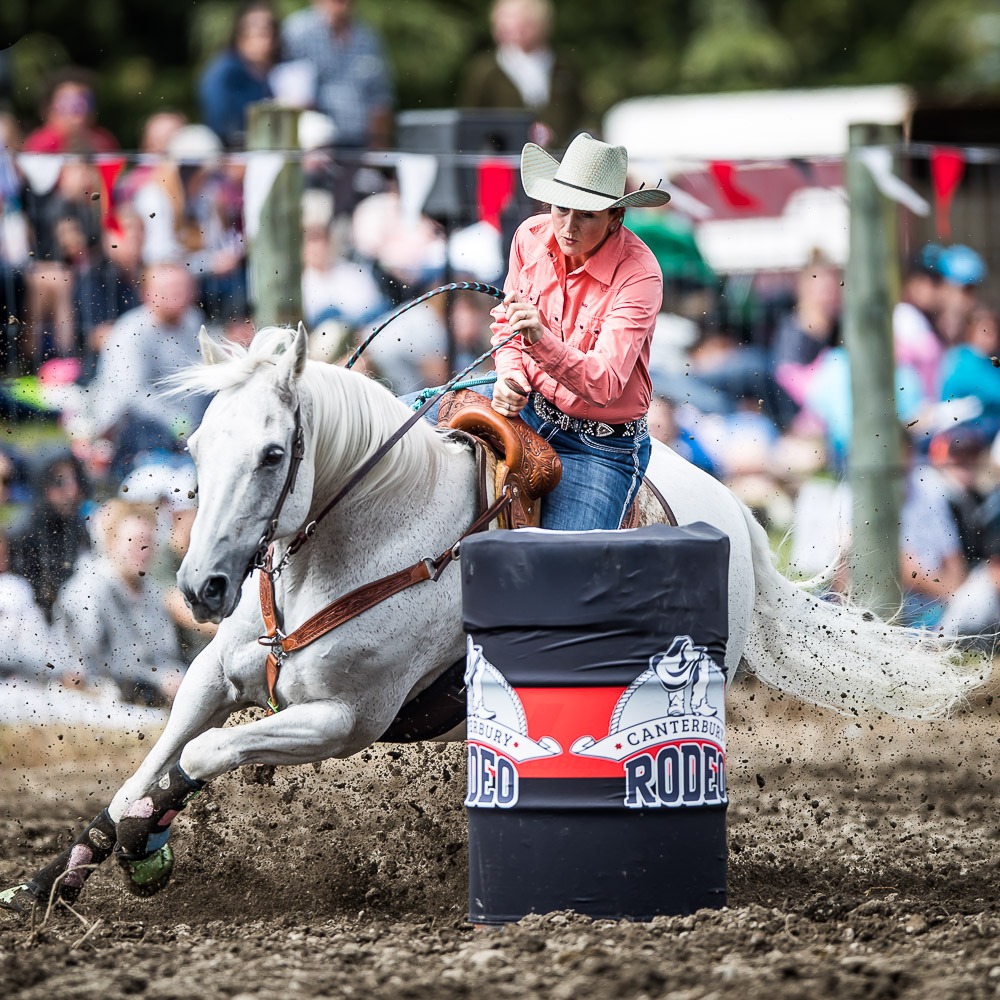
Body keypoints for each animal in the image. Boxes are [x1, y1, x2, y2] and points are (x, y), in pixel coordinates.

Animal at [0, 324, 984, 912]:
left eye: (275, 452)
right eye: (200, 444)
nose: (203, 586)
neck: (361, 543)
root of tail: (737, 515)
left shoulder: (342, 722)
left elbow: (199, 758)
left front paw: (145, 844)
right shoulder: (219, 670)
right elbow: (159, 755)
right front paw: (64, 872)